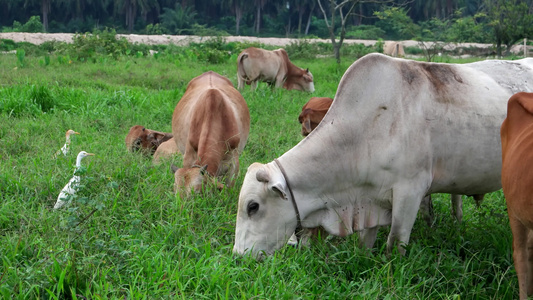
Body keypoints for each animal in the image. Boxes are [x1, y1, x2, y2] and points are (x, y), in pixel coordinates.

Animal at [234, 52, 533, 256]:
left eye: (253, 206)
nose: (238, 257)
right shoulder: (369, 198)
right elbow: (365, 241)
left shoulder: (410, 191)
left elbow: (394, 244)